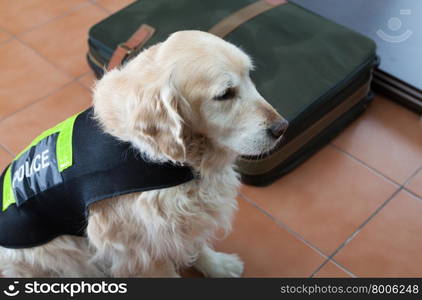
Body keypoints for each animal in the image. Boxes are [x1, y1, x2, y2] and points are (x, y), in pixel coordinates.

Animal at [0, 30, 286, 276]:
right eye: (225, 94)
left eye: (249, 76)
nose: (282, 128)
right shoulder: (139, 247)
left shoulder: (184, 220)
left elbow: (196, 243)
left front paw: (218, 265)